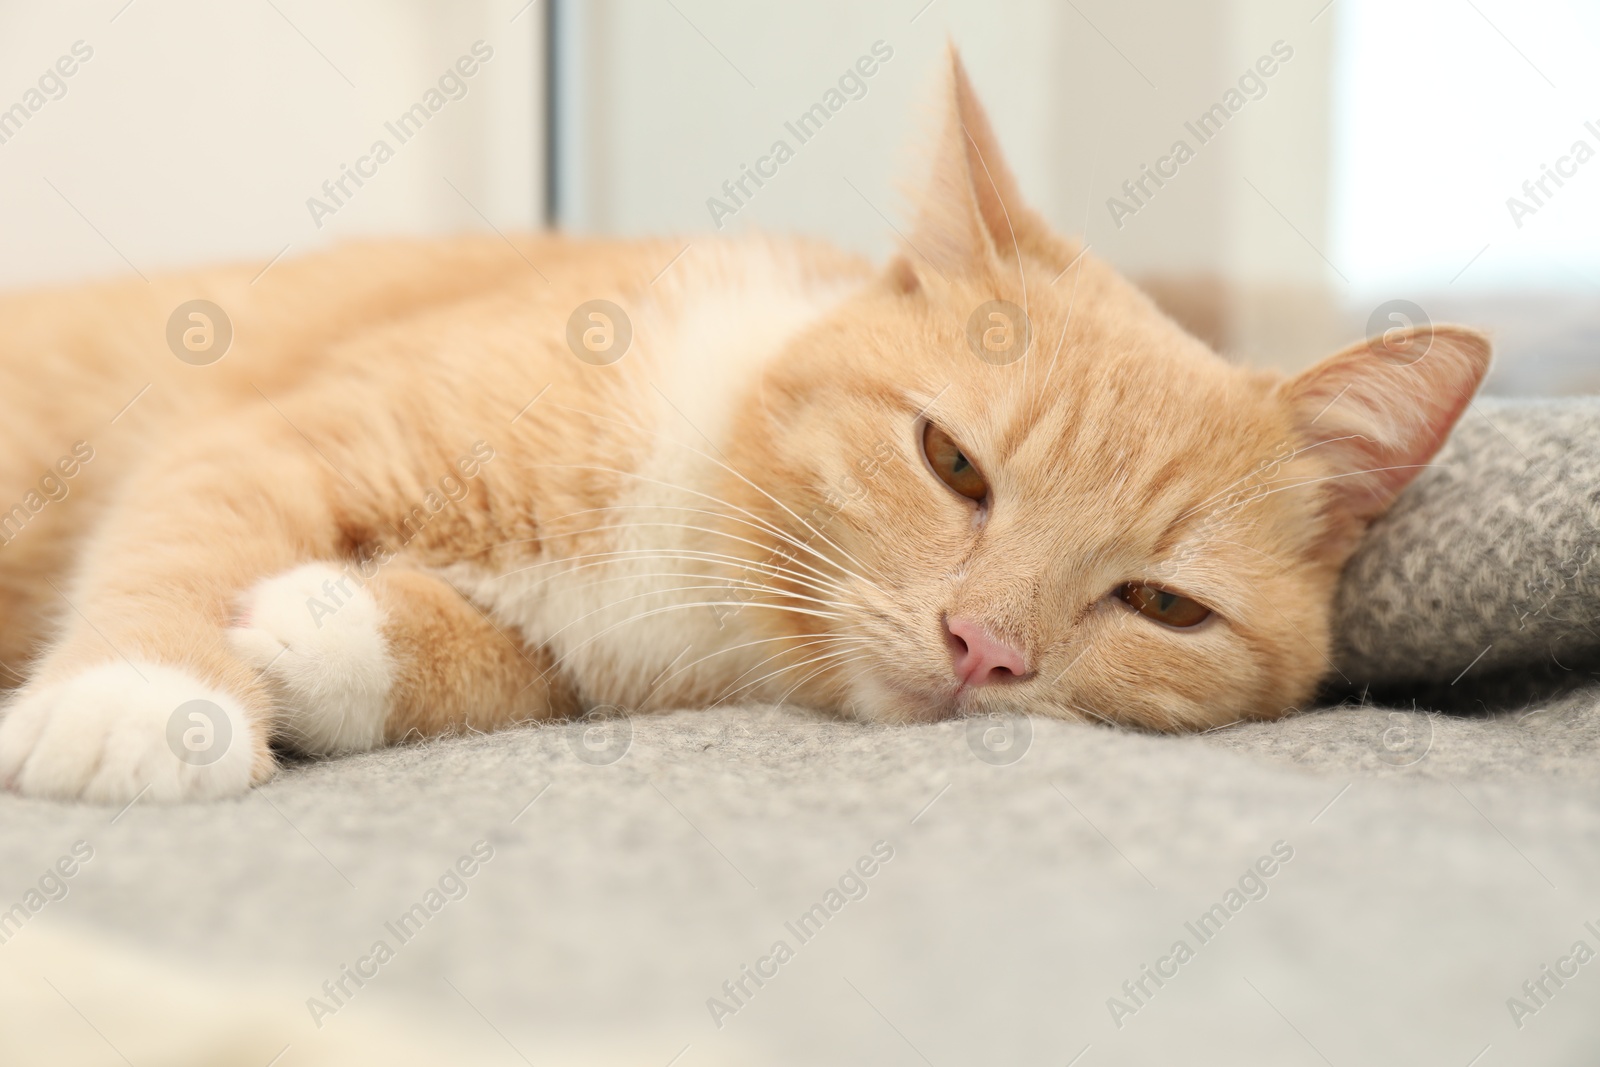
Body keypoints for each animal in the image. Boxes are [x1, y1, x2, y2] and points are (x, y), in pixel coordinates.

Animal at [0, 49, 1484, 799]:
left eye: (1164, 605)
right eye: (953, 462)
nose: (984, 647)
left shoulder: (586, 669)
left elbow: (503, 667)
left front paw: (325, 636)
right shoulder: (273, 434)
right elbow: (184, 535)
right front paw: (144, 698)